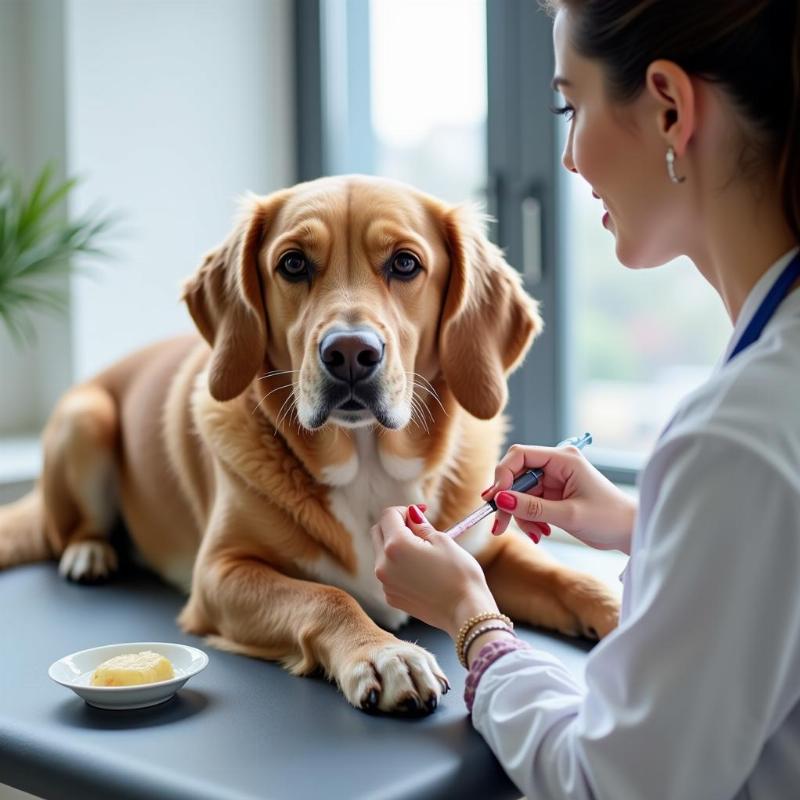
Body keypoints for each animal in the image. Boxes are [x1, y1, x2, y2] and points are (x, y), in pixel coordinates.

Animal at [0, 173, 620, 712]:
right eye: (293, 263)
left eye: (405, 263)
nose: (350, 352)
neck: (366, 461)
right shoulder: (220, 574)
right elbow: (325, 596)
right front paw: (384, 653)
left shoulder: (484, 552)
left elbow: (568, 578)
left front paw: (617, 607)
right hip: (86, 417)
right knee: (66, 525)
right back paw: (90, 552)